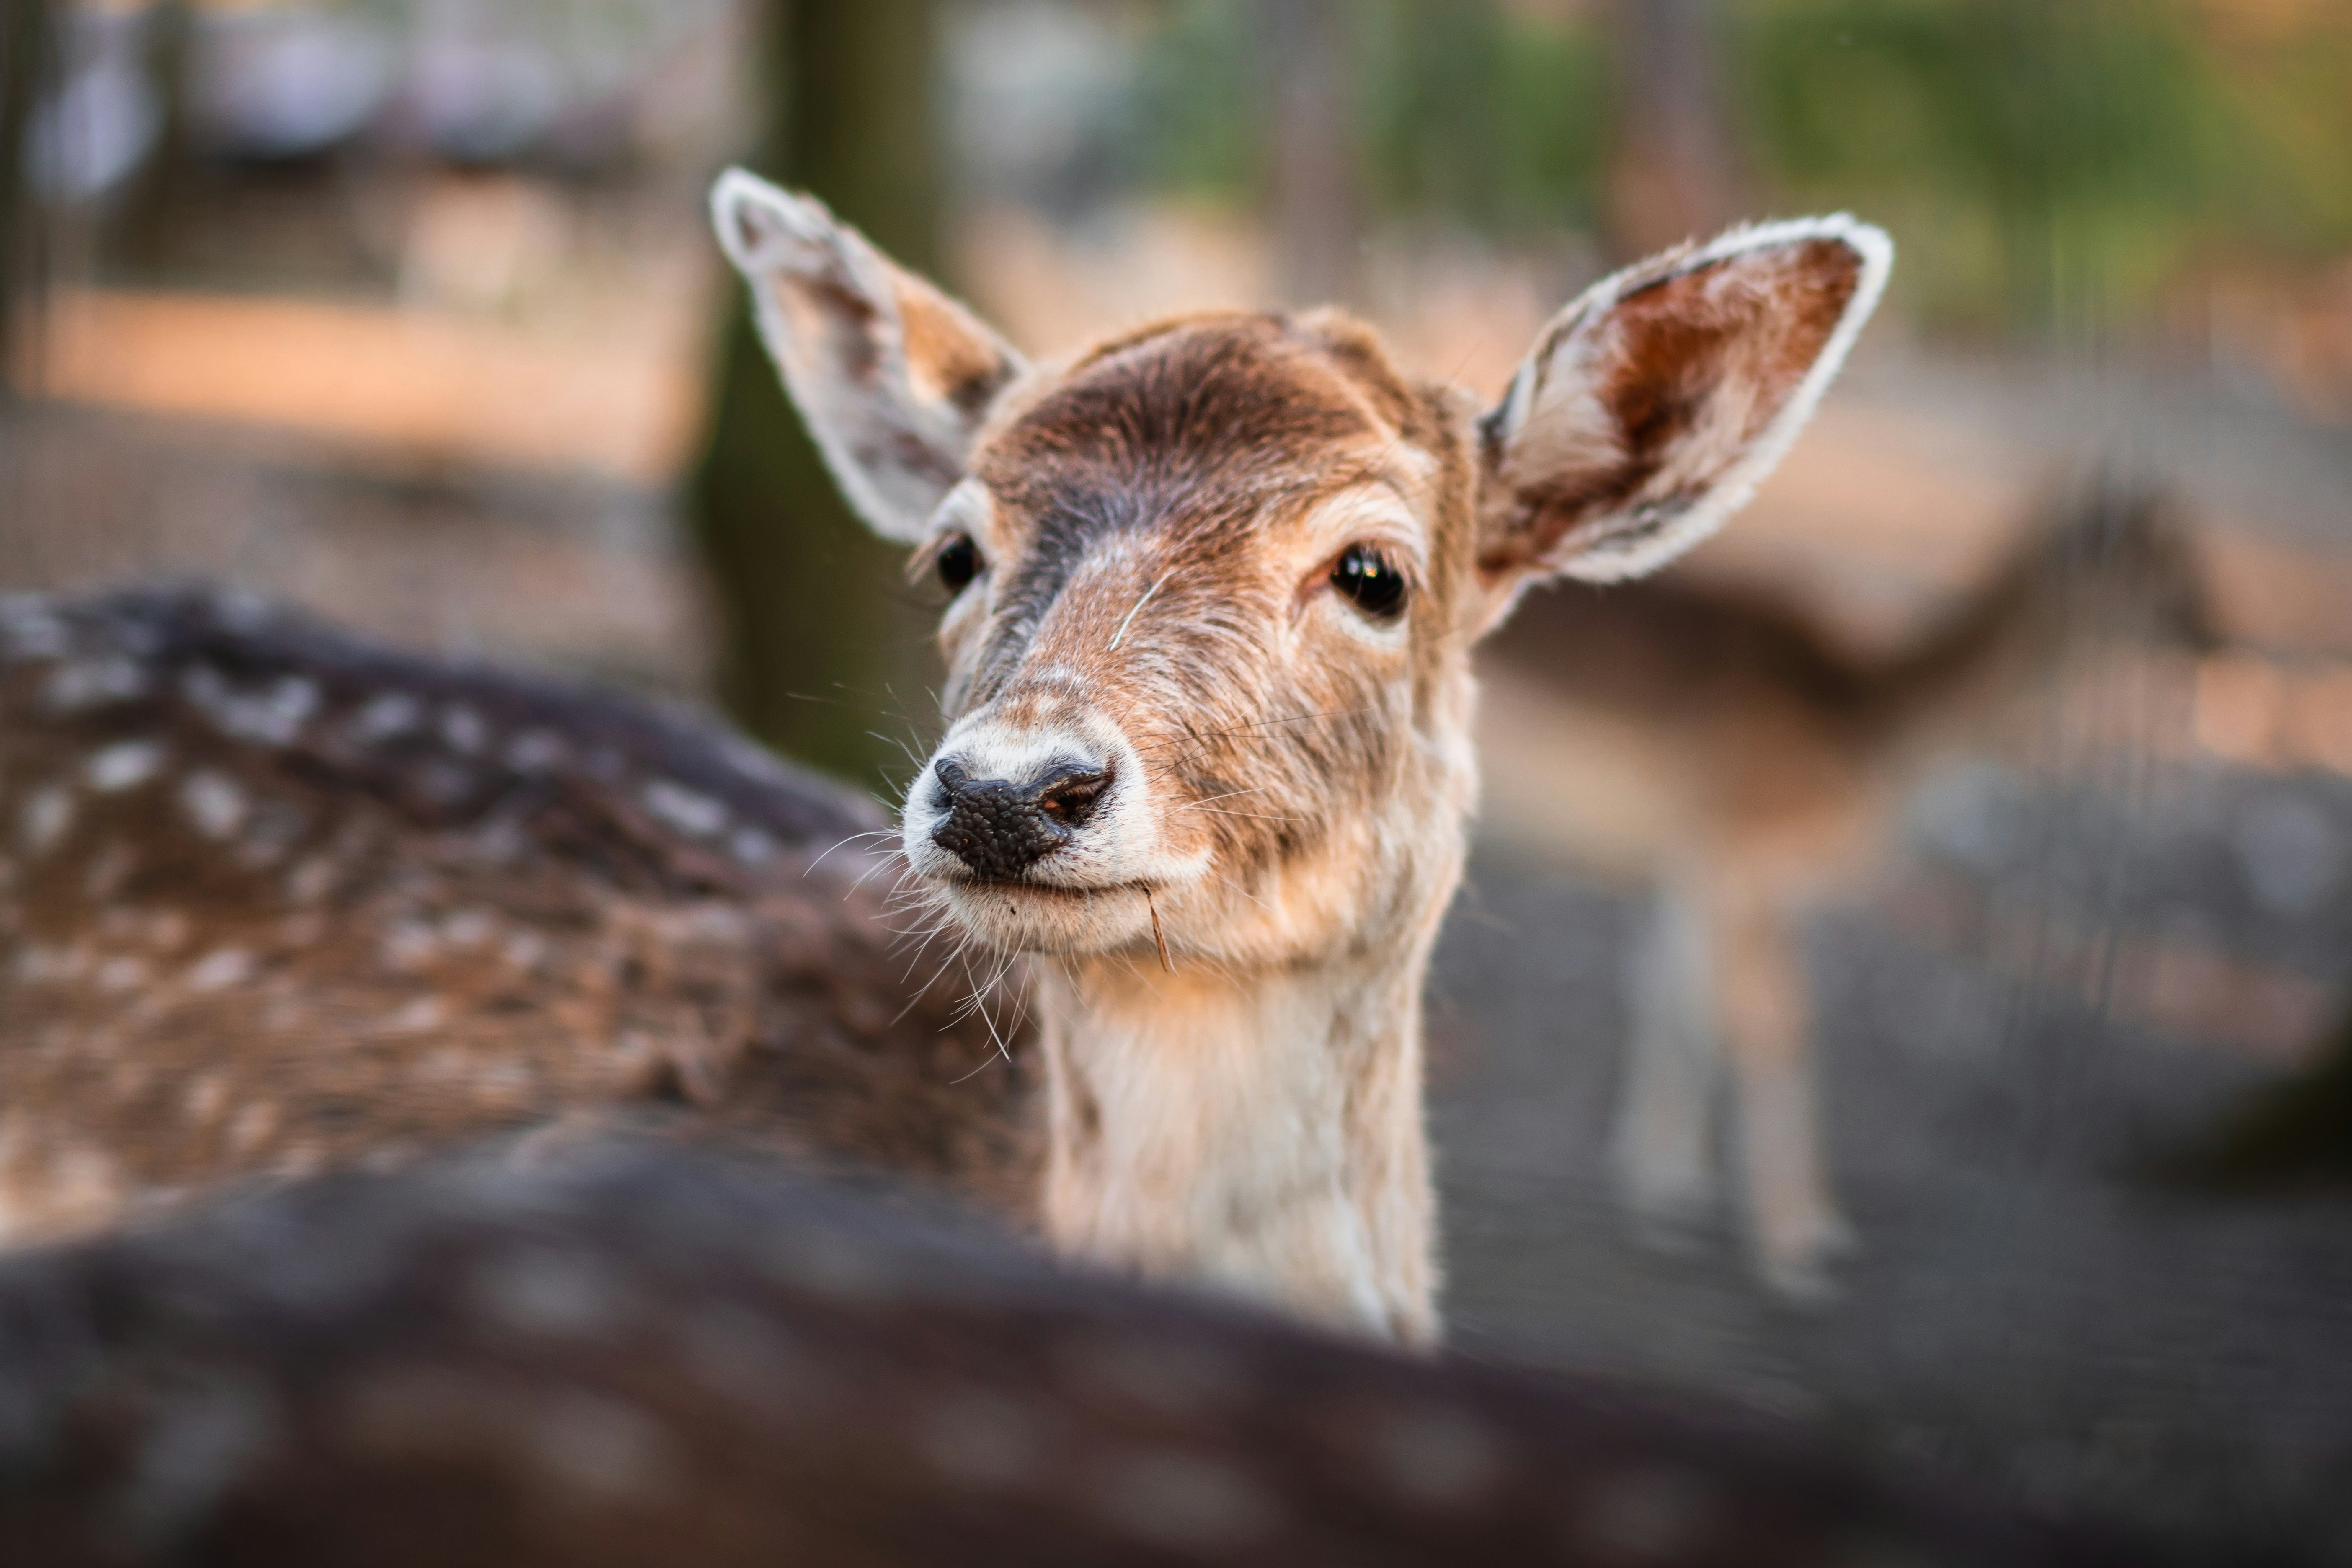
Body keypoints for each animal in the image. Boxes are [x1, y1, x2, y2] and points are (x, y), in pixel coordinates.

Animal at [1477, 479, 2211, 1297]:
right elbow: (1775, 1030)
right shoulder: (1747, 862)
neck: (1871, 738)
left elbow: (1672, 997)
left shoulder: (1692, 867)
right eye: (2157, 572)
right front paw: (1801, 1247)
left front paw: (1668, 1189)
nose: (2217, 636)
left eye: (2200, 558)